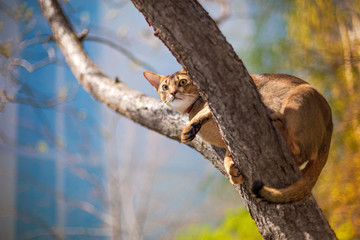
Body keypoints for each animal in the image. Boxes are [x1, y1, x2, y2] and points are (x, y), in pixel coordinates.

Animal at [143, 69, 332, 202]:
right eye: (165, 87)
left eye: (182, 82)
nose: (173, 93)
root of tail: (330, 129)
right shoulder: (229, 140)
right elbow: (228, 157)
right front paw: (232, 170)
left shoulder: (223, 100)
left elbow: (205, 111)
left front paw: (189, 128)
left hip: (302, 92)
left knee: (300, 153)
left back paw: (276, 120)